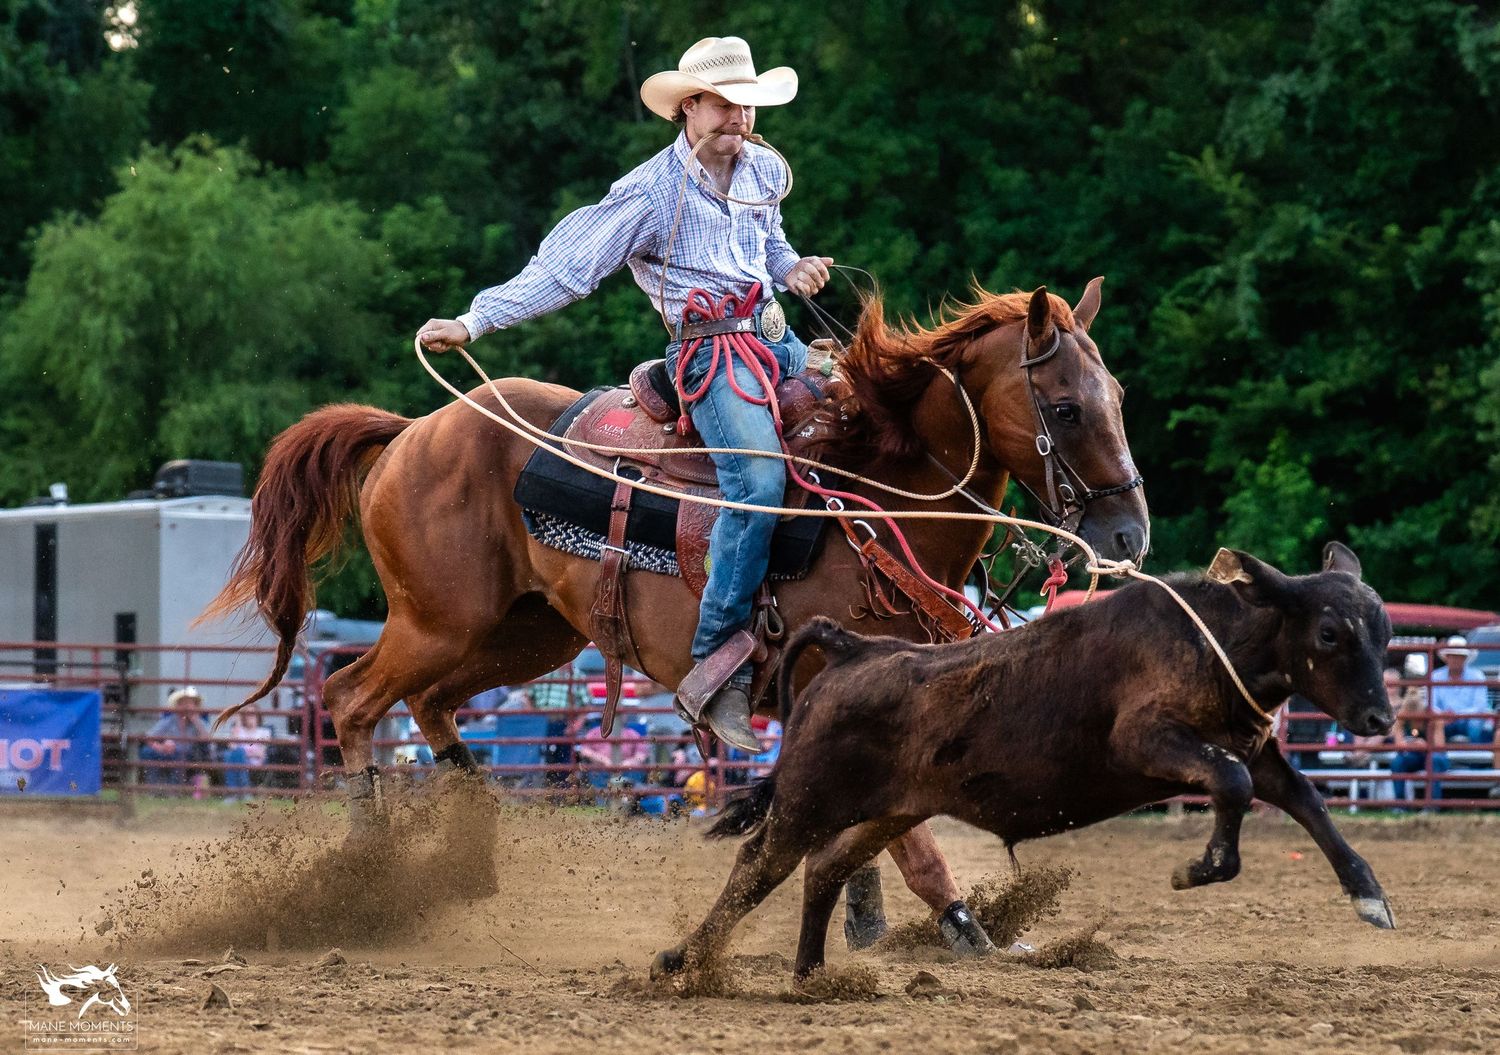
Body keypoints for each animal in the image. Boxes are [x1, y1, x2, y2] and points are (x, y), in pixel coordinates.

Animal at [653, 542, 1397, 983]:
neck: (1214, 640)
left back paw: (811, 973)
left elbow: (1305, 800)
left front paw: (1370, 896)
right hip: (809, 797)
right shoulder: (1147, 739)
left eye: (1385, 634)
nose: (1381, 721)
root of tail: (853, 650)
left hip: (891, 809)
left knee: (823, 867)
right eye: (1330, 632)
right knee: (759, 865)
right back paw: (683, 959)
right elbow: (1234, 786)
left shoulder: (1253, 746)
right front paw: (1201, 867)